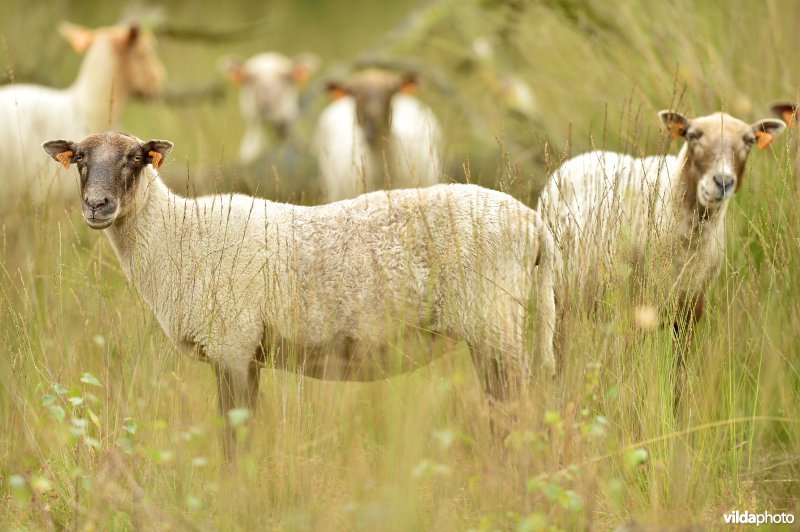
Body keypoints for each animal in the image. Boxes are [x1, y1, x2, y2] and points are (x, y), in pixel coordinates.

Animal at [43, 131, 556, 456]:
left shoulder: (232, 346)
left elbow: (235, 440)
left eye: (136, 158)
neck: (178, 234)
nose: (98, 205)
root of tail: (535, 226)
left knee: (514, 410)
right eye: (81, 158)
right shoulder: (247, 353)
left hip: (494, 323)